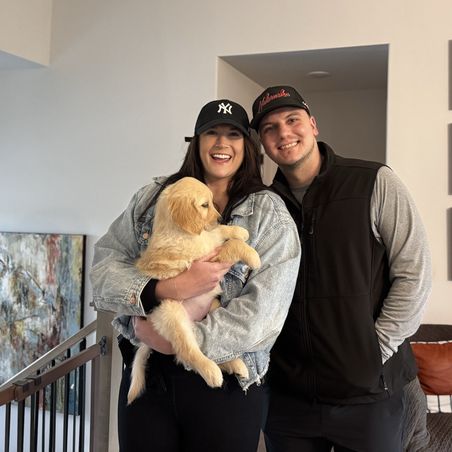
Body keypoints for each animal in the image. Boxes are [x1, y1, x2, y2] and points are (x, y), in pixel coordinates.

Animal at [127, 177, 261, 404]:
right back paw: (212, 372)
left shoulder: (209, 240)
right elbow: (231, 246)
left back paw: (237, 365)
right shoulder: (208, 261)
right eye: (205, 205)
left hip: (213, 306)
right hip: (171, 314)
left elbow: (219, 233)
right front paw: (253, 256)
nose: (219, 217)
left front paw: (238, 231)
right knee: (187, 351)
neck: (183, 233)